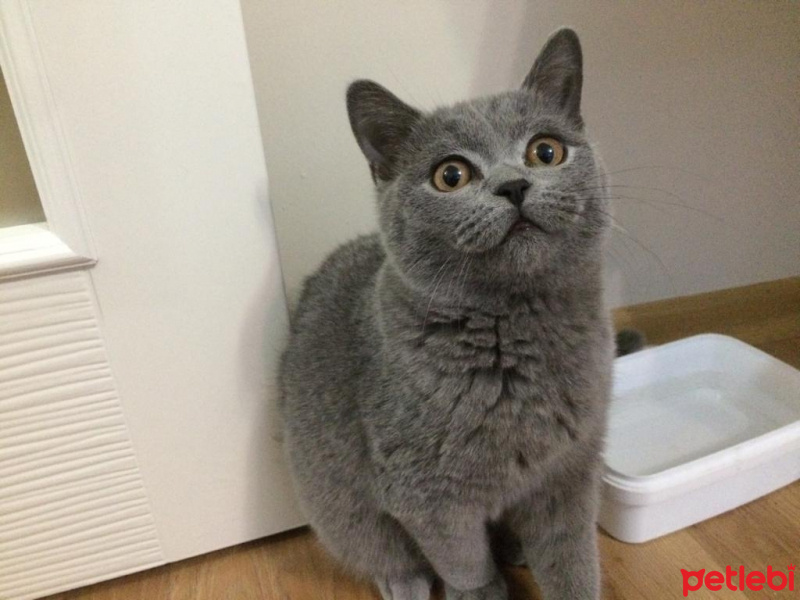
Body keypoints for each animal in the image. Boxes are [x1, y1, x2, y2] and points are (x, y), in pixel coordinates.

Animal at [280, 28, 612, 600]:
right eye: (450, 175)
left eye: (545, 151)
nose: (513, 185)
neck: (518, 331)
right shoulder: (427, 497)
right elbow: (462, 559)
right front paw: (480, 592)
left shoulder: (569, 473)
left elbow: (572, 560)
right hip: (338, 506)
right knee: (381, 549)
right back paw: (406, 583)